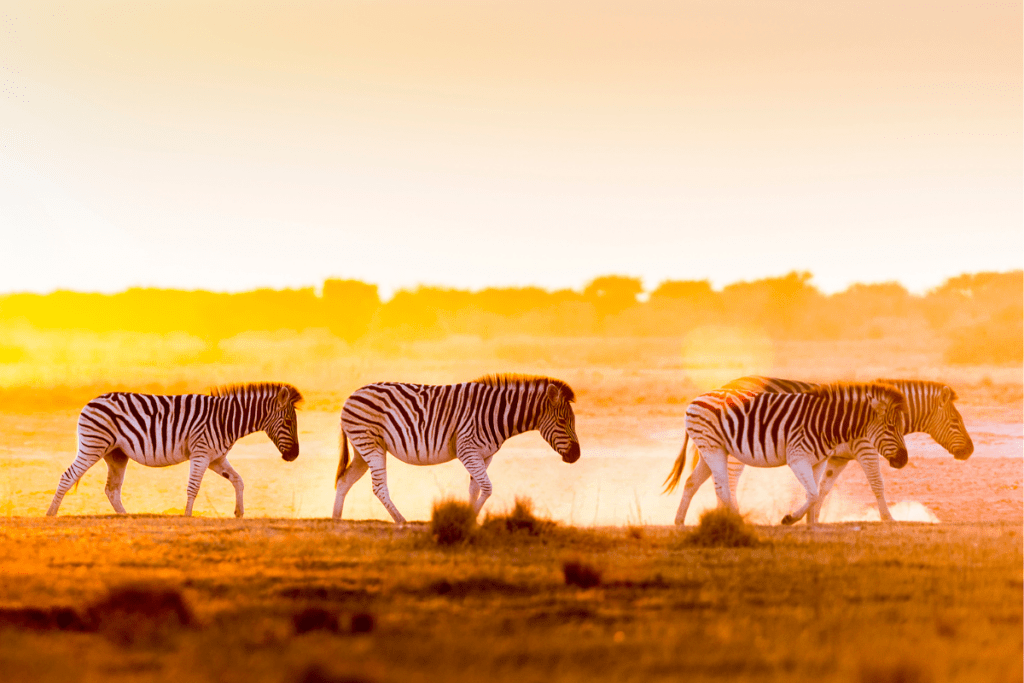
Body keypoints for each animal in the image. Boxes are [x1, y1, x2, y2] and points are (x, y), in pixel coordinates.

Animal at [46, 385, 301, 518]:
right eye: (288, 422)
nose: (294, 456)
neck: (227, 420)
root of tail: (90, 401)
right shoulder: (202, 453)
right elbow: (194, 487)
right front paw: (187, 517)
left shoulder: (216, 458)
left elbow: (238, 480)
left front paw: (239, 513)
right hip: (93, 446)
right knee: (68, 476)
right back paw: (51, 514)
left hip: (116, 454)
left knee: (112, 490)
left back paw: (126, 518)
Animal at [331, 374, 581, 524]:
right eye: (562, 421)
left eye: (572, 421)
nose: (577, 455)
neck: (497, 414)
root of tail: (351, 396)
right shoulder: (467, 450)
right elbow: (487, 488)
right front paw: (470, 519)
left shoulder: (484, 455)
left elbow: (475, 489)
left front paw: (468, 519)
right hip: (370, 444)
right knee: (379, 487)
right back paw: (401, 520)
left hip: (362, 449)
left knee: (344, 481)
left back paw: (335, 520)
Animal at [667, 385, 909, 528]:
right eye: (890, 427)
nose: (904, 460)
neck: (828, 423)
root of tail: (696, 399)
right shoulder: (797, 457)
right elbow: (812, 493)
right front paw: (790, 519)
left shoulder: (818, 461)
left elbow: (815, 493)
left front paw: (811, 525)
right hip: (713, 448)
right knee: (723, 488)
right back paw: (737, 521)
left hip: (710, 450)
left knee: (691, 483)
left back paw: (679, 521)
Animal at [688, 378, 966, 524]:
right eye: (956, 421)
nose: (970, 451)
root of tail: (728, 383)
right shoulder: (865, 449)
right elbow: (877, 483)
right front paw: (888, 518)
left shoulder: (839, 457)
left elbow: (822, 489)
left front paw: (813, 519)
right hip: (736, 449)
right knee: (728, 481)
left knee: (700, 481)